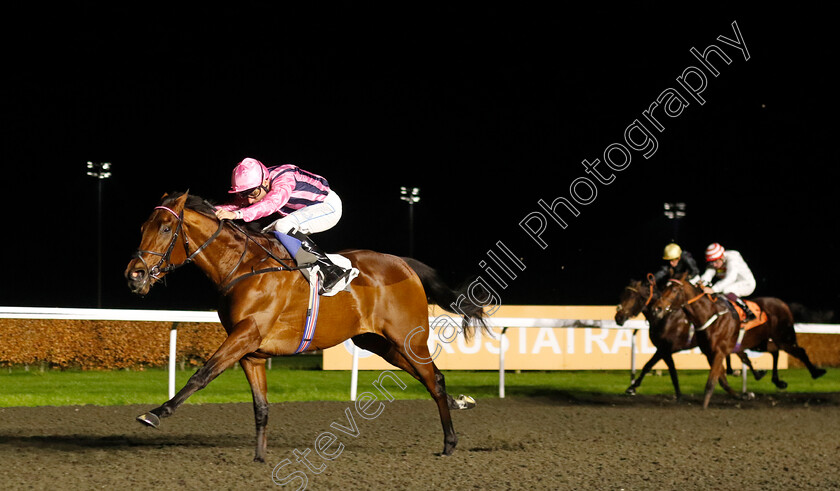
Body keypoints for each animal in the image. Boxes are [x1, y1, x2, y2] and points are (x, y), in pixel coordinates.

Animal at [652, 276, 824, 408]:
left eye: (675, 290)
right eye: (663, 288)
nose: (657, 308)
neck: (708, 316)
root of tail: (782, 303)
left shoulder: (719, 352)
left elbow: (711, 382)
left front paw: (703, 407)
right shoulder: (710, 353)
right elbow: (722, 381)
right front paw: (742, 395)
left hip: (784, 338)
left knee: (799, 351)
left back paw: (817, 372)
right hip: (759, 342)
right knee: (775, 351)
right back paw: (778, 381)